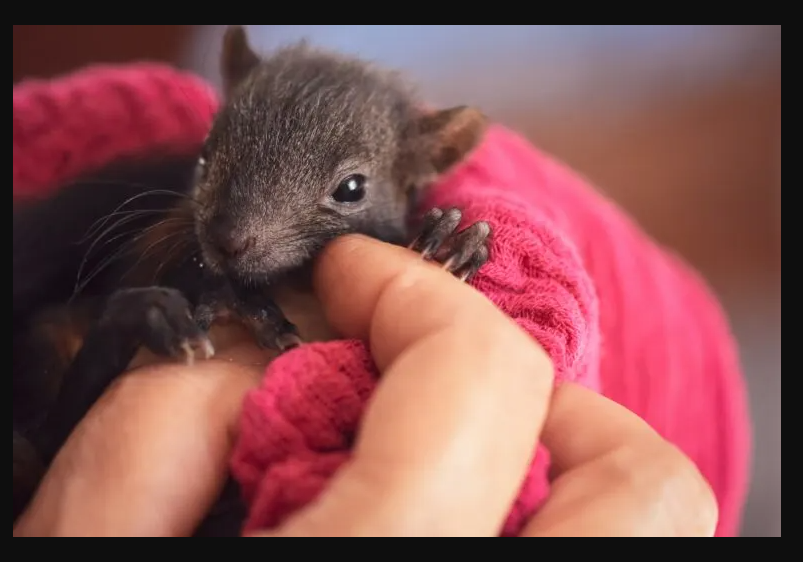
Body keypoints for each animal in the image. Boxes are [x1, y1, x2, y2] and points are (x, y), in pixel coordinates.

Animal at [11, 26, 490, 532]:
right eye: (204, 154)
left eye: (352, 189)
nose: (226, 240)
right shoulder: (157, 248)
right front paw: (237, 301)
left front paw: (453, 239)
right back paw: (150, 316)